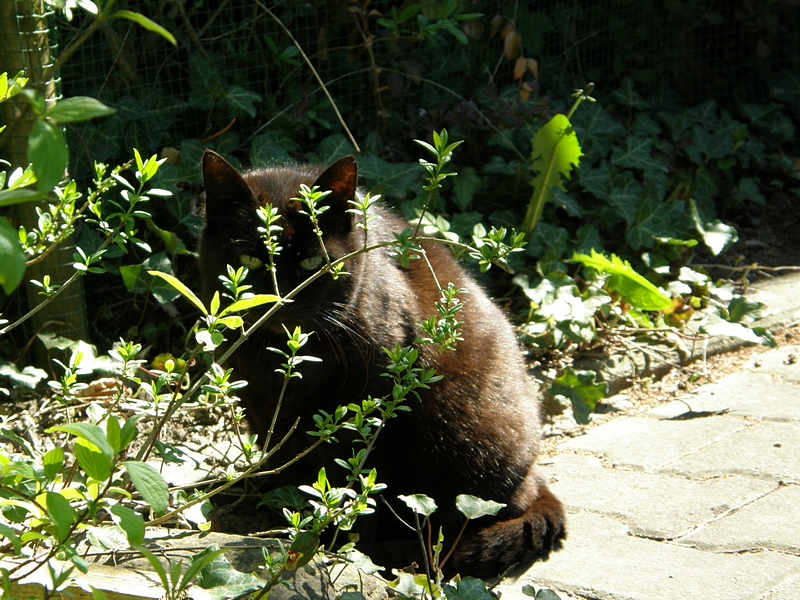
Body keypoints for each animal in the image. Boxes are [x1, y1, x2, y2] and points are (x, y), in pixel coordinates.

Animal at [198, 150, 564, 576]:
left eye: (312, 263)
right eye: (249, 261)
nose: (281, 301)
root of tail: (534, 478)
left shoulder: (375, 410)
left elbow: (360, 485)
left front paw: (338, 544)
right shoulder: (260, 404)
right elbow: (291, 470)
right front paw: (292, 520)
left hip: (459, 436)